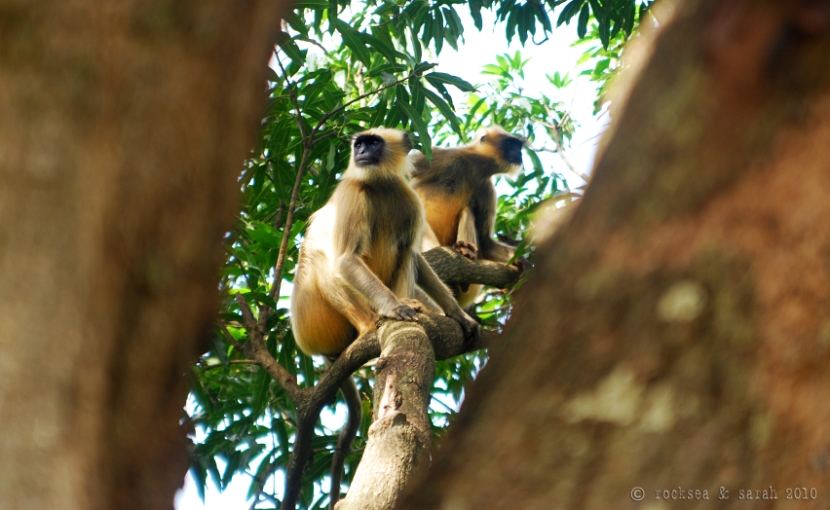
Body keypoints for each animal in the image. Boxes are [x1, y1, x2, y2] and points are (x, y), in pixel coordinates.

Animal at [290, 127, 480, 506]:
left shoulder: (407, 197)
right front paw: (393, 309)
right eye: (359, 143)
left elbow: (415, 256)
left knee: (403, 248)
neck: (378, 186)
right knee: (324, 258)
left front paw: (456, 314)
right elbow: (346, 259)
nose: (362, 151)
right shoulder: (352, 193)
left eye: (373, 142)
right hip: (313, 322)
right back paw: (370, 325)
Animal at [410, 125, 532, 308]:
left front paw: (520, 260)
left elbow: (485, 243)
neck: (474, 167)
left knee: (467, 212)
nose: (519, 153)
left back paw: (464, 256)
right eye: (511, 144)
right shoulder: (444, 156)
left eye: (518, 147)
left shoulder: (486, 189)